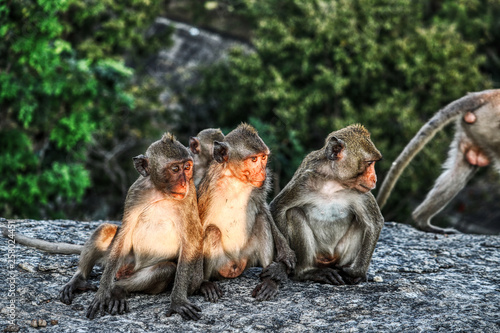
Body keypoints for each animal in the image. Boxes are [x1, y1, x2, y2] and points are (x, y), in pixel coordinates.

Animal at [4, 133, 204, 320]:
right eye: (175, 169)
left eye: (187, 167)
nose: (184, 183)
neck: (160, 192)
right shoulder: (135, 192)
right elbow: (124, 234)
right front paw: (101, 295)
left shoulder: (189, 197)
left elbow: (191, 239)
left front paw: (177, 301)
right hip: (120, 259)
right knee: (105, 231)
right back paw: (81, 280)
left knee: (165, 269)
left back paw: (117, 290)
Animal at [196, 123, 296, 302]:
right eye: (253, 159)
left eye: (263, 158)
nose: (262, 172)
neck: (236, 180)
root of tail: (235, 267)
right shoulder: (210, 189)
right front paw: (199, 284)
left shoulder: (261, 186)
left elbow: (263, 209)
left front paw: (285, 258)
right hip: (221, 264)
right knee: (212, 231)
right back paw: (206, 283)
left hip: (247, 257)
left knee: (261, 220)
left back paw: (269, 282)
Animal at [270, 124, 382, 286]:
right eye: (369, 163)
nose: (374, 179)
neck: (333, 181)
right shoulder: (304, 181)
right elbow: (278, 208)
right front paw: (283, 264)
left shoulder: (361, 192)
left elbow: (374, 223)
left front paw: (357, 273)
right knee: (293, 213)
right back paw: (307, 272)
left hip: (339, 256)